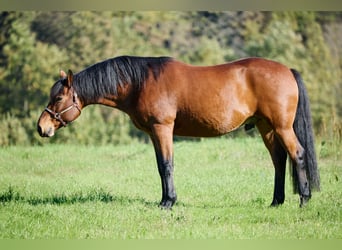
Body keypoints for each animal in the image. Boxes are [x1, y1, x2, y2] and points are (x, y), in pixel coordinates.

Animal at [37, 56, 320, 209]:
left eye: (59, 97)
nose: (42, 127)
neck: (141, 83)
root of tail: (287, 71)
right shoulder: (153, 133)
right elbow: (160, 166)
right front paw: (165, 199)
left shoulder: (163, 128)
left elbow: (167, 164)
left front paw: (168, 202)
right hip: (266, 127)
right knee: (279, 160)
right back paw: (276, 201)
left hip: (281, 127)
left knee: (298, 154)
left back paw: (304, 199)